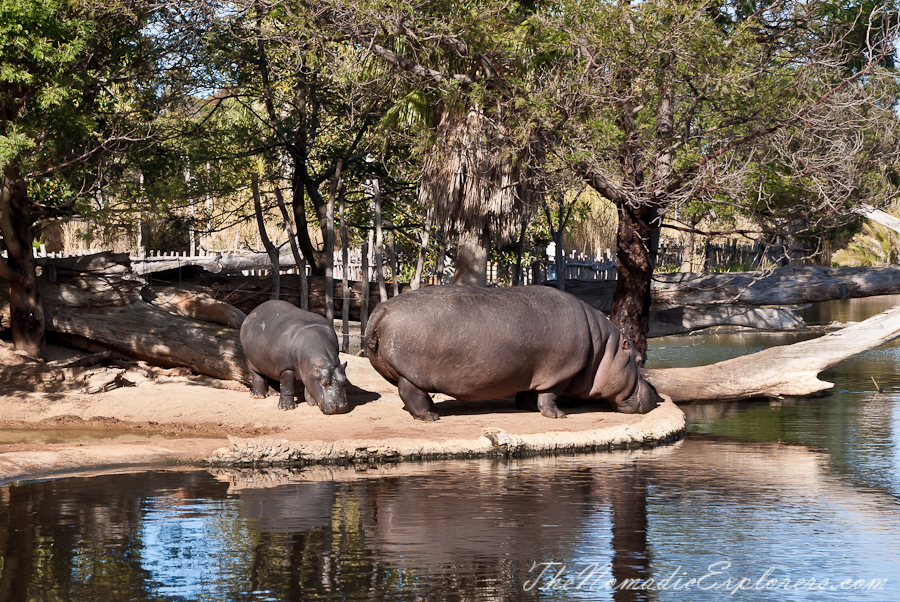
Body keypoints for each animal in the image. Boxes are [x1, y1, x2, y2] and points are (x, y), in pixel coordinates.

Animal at [366, 284, 660, 418]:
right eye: (638, 359)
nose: (656, 394)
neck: (603, 350)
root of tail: (383, 307)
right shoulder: (560, 371)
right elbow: (550, 395)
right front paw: (558, 415)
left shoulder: (535, 373)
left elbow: (529, 393)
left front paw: (527, 408)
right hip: (412, 374)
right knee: (411, 393)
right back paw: (431, 417)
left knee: (411, 394)